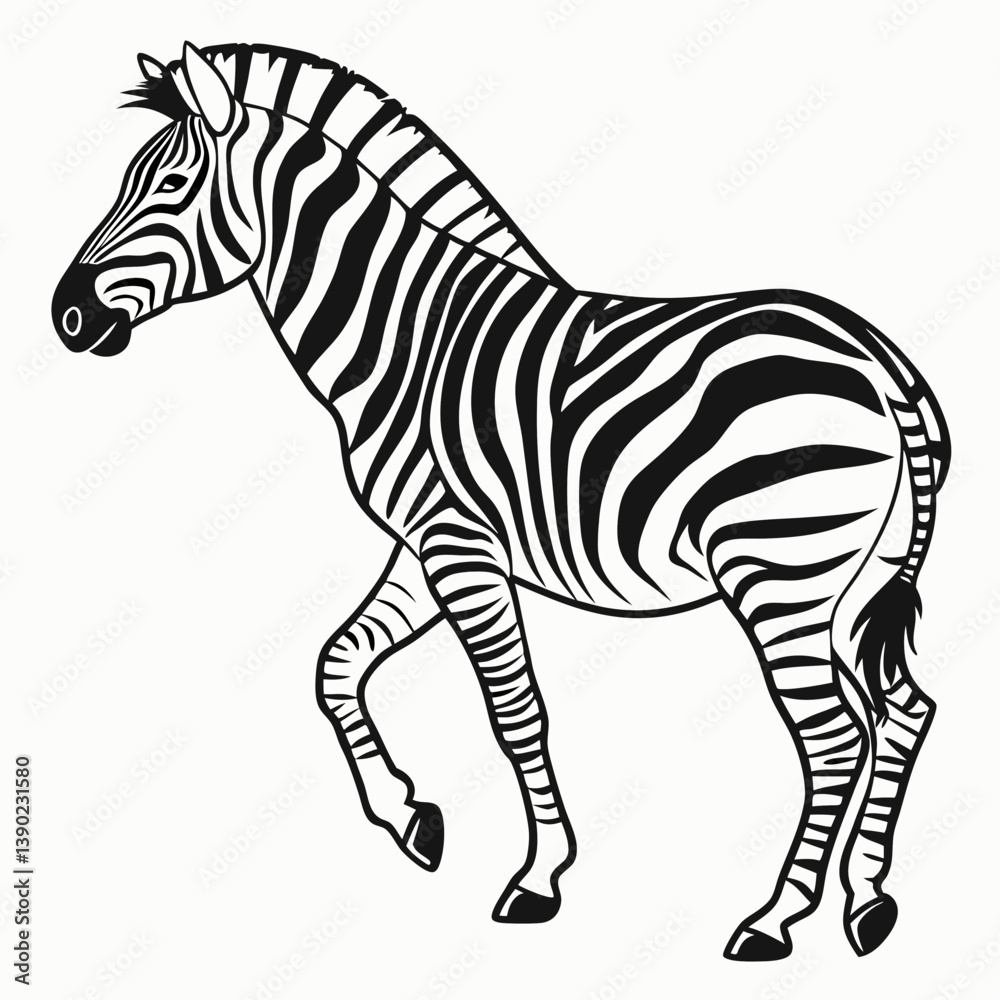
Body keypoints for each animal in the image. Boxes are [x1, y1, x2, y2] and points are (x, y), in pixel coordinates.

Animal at [52, 42, 949, 961]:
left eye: (169, 186)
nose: (67, 316)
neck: (402, 334)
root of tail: (877, 360)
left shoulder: (460, 547)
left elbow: (513, 711)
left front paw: (538, 878)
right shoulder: (424, 545)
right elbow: (337, 665)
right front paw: (411, 819)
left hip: (779, 570)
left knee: (835, 739)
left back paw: (773, 919)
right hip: (851, 586)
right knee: (905, 712)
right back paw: (868, 901)